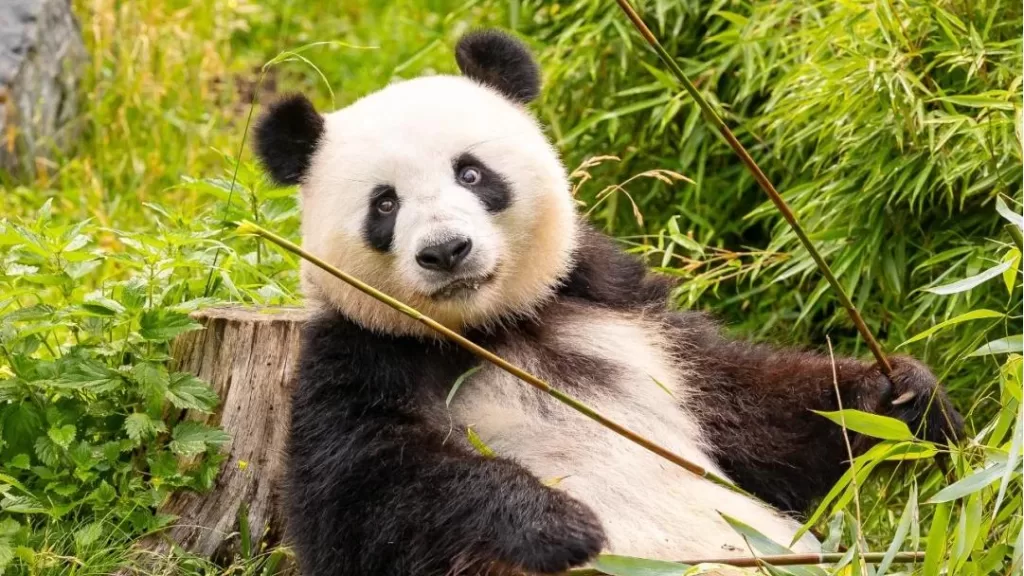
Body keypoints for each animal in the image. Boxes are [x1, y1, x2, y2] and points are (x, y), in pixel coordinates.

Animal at [252, 29, 963, 576]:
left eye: (471, 172)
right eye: (385, 204)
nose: (447, 251)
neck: (490, 329)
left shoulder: (620, 306)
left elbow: (756, 412)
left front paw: (904, 396)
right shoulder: (363, 353)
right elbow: (361, 499)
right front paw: (555, 523)